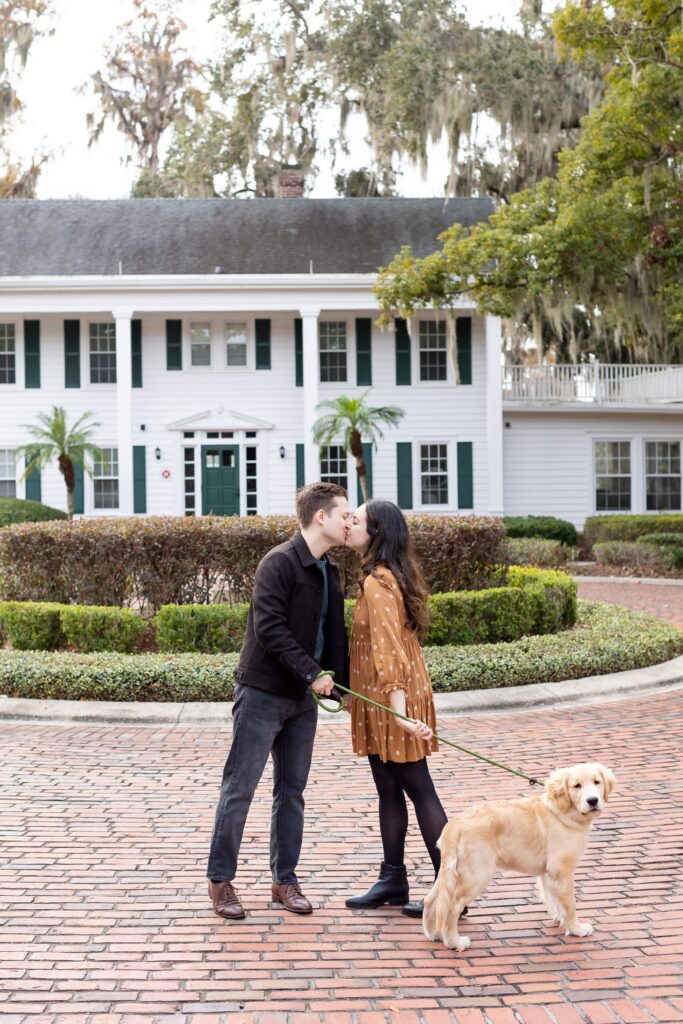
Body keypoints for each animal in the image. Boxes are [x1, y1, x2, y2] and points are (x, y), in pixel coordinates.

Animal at [423, 761, 618, 950]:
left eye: (597, 782)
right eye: (577, 786)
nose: (592, 800)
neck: (562, 812)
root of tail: (454, 824)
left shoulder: (549, 873)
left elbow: (553, 899)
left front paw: (560, 920)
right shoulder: (562, 870)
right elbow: (570, 903)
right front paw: (576, 928)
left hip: (449, 873)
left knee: (431, 901)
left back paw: (434, 934)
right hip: (477, 874)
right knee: (451, 907)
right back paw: (454, 942)